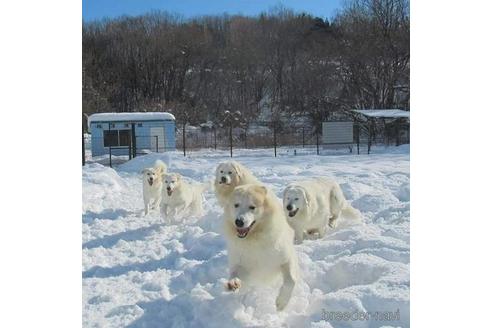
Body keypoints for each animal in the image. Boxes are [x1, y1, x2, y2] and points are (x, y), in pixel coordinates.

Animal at [224, 183, 300, 312]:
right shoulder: (241, 263)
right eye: (236, 205)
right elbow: (235, 273)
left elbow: (291, 281)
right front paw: (233, 283)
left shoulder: (286, 259)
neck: (255, 239)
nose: (238, 222)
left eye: (252, 207)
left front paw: (281, 303)